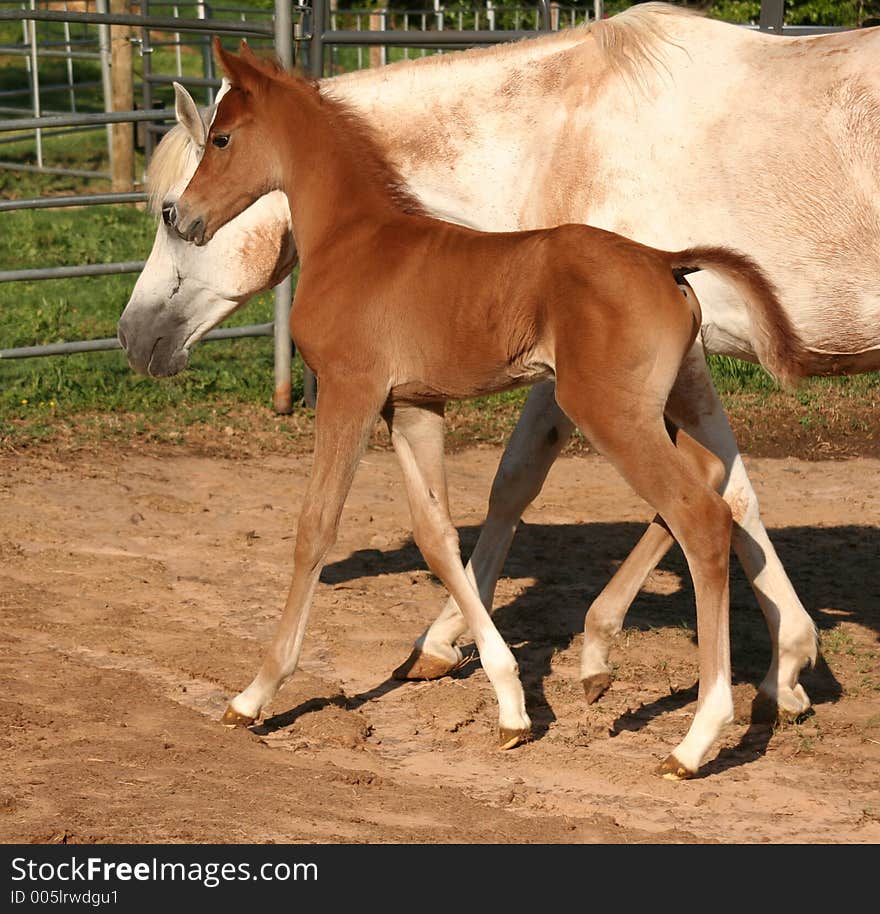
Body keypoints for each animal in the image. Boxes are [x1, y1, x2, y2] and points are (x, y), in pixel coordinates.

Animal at [168, 39, 808, 772]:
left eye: (220, 138)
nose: (180, 217)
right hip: (667, 399)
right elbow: (438, 537)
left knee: (698, 516)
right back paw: (602, 659)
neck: (354, 239)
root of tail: (663, 261)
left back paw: (697, 738)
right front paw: (507, 702)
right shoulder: (413, 407)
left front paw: (255, 694)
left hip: (608, 410)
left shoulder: (350, 393)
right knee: (713, 487)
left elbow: (316, 528)